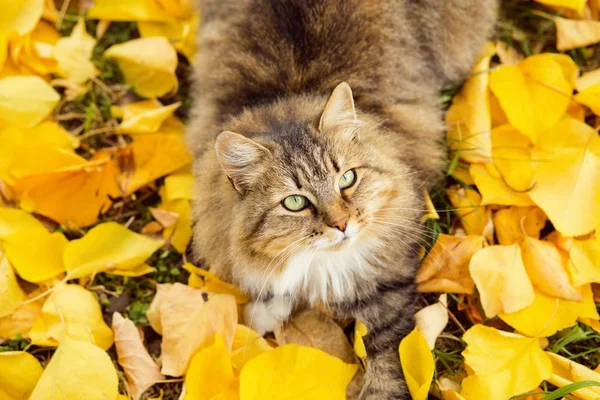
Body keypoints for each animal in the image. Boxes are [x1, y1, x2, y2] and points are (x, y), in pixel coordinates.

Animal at [188, 1, 496, 398]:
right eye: (295, 203)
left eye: (347, 179)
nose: (342, 224)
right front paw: (265, 311)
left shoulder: (386, 285)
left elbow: (388, 360)